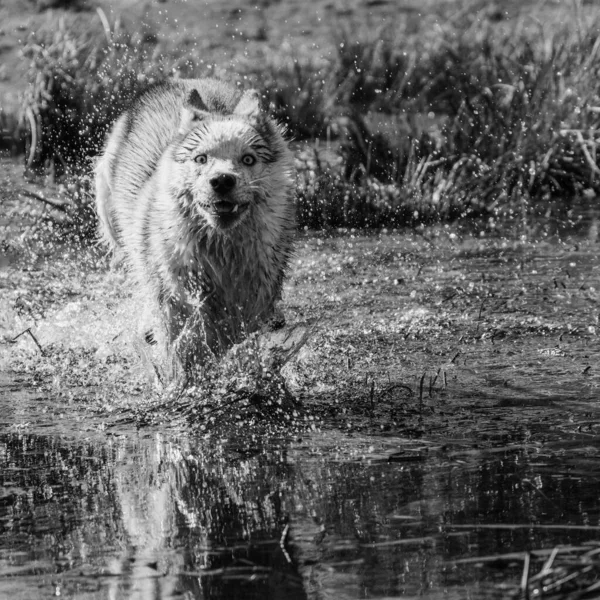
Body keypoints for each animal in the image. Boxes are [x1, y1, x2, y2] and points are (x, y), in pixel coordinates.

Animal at [94, 79, 298, 380]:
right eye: (201, 159)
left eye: (248, 159)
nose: (222, 180)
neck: (221, 250)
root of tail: (181, 81)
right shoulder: (175, 295)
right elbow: (181, 346)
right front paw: (178, 382)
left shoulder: (251, 299)